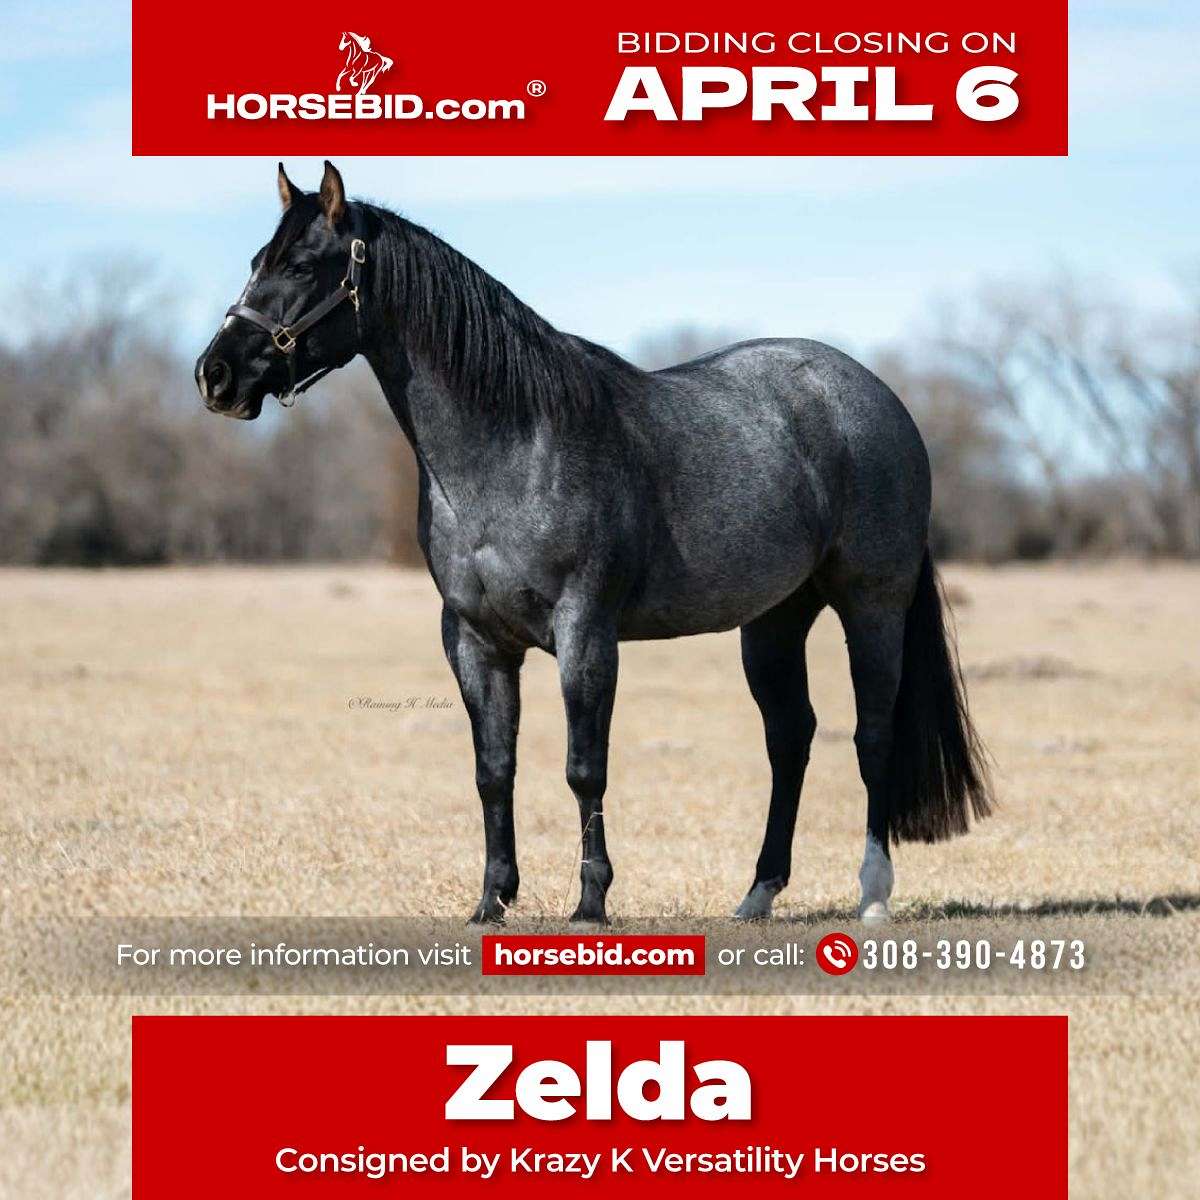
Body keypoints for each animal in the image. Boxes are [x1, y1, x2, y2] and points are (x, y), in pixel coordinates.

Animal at [195, 161, 993, 926]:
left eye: (303, 265)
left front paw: (590, 902)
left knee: (872, 736)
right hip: (772, 621)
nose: (215, 375)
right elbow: (494, 769)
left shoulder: (585, 632)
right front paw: (492, 902)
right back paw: (757, 896)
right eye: (257, 260)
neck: (515, 444)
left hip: (871, 604)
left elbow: (585, 767)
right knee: (790, 739)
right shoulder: (475, 639)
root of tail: (877, 399)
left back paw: (873, 896)